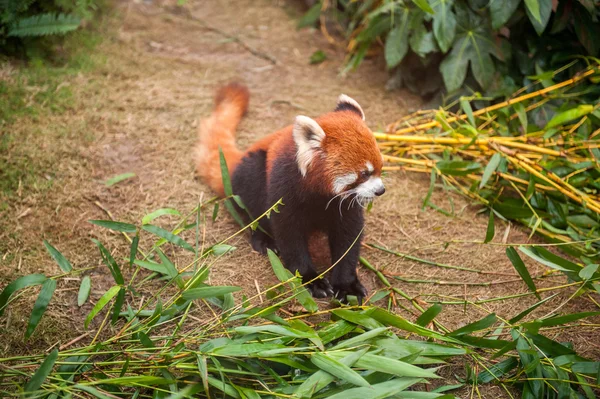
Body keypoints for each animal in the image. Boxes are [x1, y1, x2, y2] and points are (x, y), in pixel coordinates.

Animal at [197, 84, 384, 304]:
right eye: (364, 174)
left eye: (380, 168)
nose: (380, 190)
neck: (321, 194)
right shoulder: (284, 187)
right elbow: (289, 235)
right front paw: (311, 280)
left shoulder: (345, 205)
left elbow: (348, 238)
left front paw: (347, 286)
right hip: (253, 171)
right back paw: (264, 238)